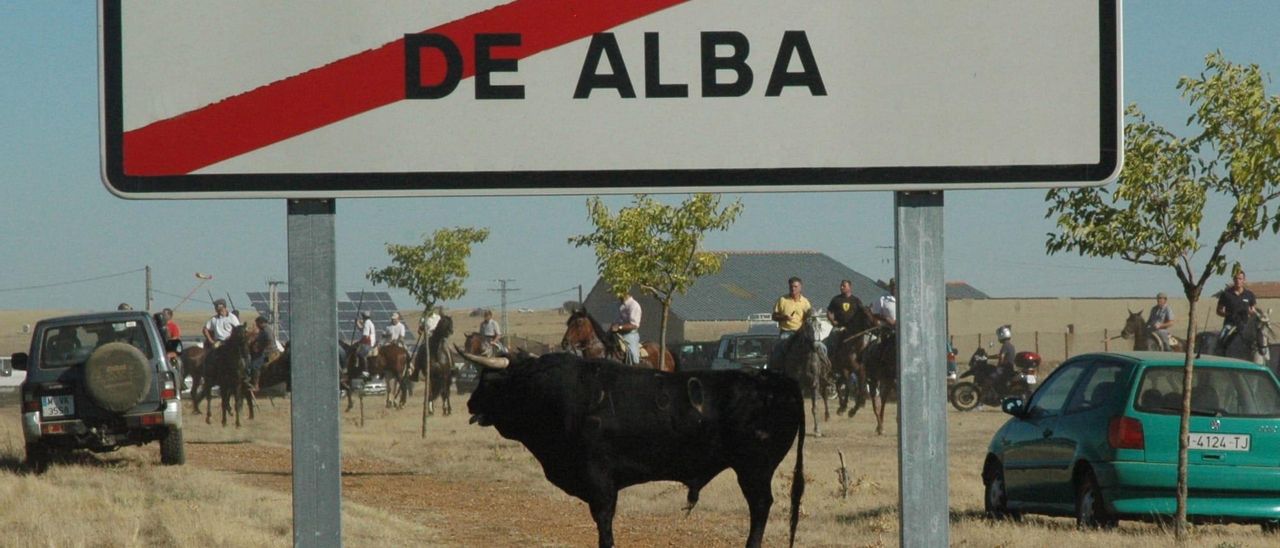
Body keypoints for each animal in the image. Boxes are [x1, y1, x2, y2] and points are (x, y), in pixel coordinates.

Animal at [458, 350, 798, 548]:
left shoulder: (599, 479)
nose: (470, 403)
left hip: (754, 470)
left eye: (490, 380)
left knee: (760, 507)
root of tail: (771, 377)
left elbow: (604, 523)